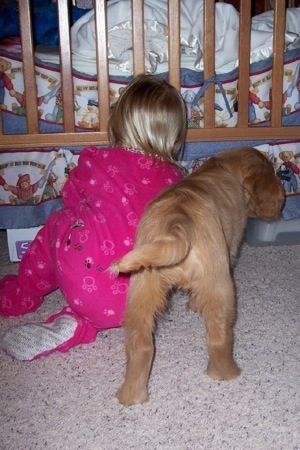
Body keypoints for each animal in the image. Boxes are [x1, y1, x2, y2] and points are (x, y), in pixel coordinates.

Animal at [111, 147, 284, 404]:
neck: (222, 166)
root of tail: (177, 223)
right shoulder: (232, 248)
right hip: (219, 285)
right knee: (218, 337)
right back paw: (227, 373)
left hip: (141, 290)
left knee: (140, 347)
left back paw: (130, 396)